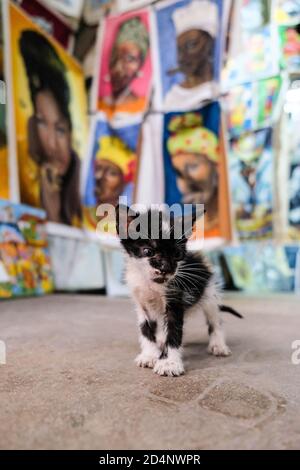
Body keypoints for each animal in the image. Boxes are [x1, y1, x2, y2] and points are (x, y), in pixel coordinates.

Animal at [116, 206, 243, 378]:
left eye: (177, 254)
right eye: (148, 251)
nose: (166, 268)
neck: (152, 285)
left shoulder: (175, 298)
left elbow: (174, 329)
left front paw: (169, 363)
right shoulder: (141, 301)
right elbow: (146, 329)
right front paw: (150, 355)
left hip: (210, 291)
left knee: (215, 319)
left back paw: (218, 345)